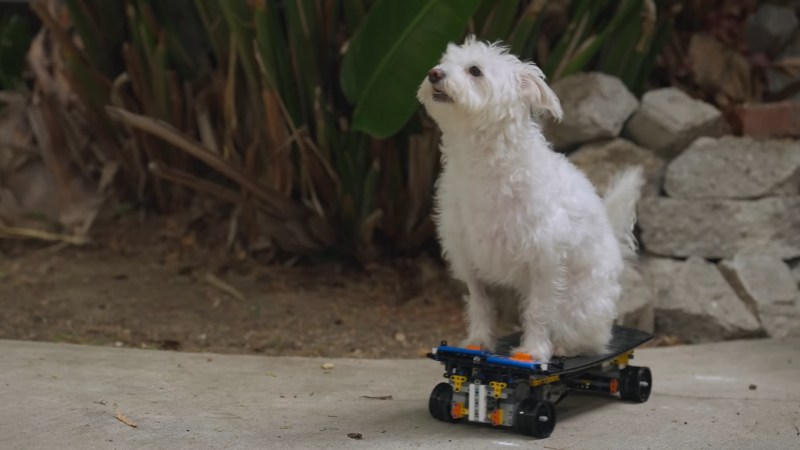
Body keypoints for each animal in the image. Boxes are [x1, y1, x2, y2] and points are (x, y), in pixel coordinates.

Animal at [418, 36, 644, 362]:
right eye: (443, 63)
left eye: (475, 71)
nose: (434, 74)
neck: (480, 161)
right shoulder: (470, 261)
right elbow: (480, 305)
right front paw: (477, 342)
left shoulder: (544, 261)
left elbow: (538, 311)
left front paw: (533, 352)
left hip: (582, 306)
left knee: (594, 339)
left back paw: (565, 347)